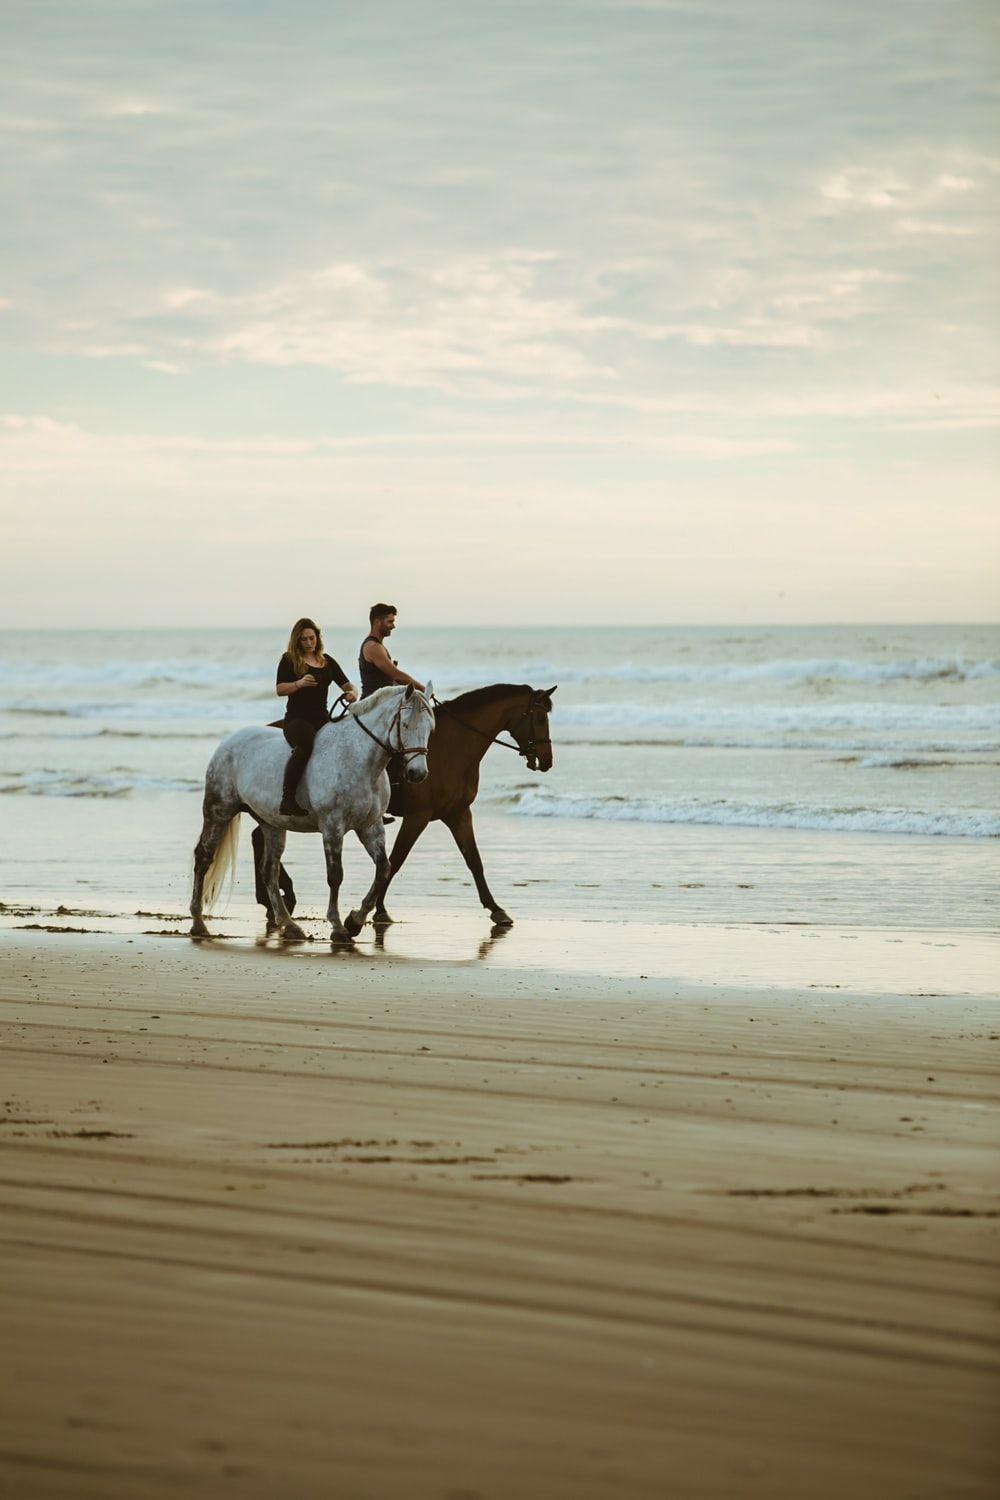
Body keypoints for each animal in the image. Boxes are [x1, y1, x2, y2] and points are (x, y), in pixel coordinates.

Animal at [189, 683, 435, 943]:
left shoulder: (370, 826)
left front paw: (355, 921)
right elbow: (335, 875)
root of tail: (228, 742)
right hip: (219, 811)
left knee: (269, 870)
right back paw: (198, 923)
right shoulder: (332, 825)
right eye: (405, 724)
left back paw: (289, 925)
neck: (358, 759)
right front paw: (338, 926)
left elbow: (383, 869)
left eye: (430, 728)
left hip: (271, 823)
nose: (417, 773)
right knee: (203, 857)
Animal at [254, 682, 555, 931]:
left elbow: (474, 861)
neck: (453, 747)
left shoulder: (458, 813)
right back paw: (278, 899)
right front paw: (375, 911)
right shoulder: (418, 816)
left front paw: (496, 909)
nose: (547, 760)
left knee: (259, 837)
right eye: (540, 719)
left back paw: (274, 900)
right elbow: (396, 860)